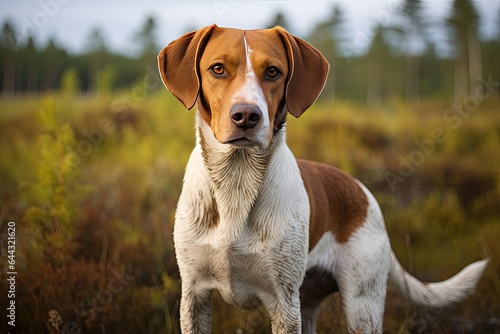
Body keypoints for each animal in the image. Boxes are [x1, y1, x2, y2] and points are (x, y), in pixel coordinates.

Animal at [157, 24, 488, 332]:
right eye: (218, 69)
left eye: (273, 72)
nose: (247, 116)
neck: (236, 181)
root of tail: (363, 192)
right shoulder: (194, 296)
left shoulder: (283, 303)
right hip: (309, 303)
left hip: (361, 306)